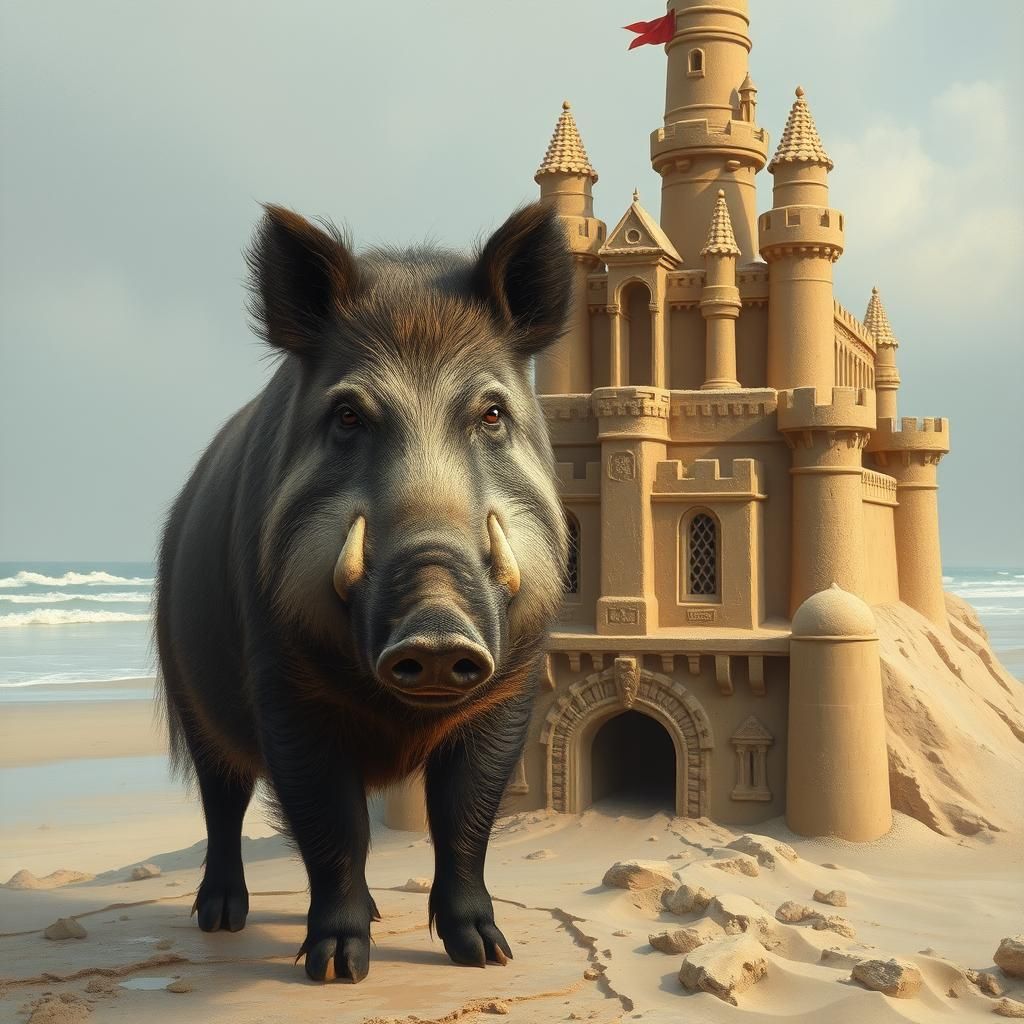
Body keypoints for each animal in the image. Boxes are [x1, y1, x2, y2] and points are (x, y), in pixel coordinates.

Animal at [154, 202, 572, 984]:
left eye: (491, 414)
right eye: (348, 415)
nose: (435, 628)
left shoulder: (511, 688)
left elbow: (467, 816)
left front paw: (487, 956)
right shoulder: (284, 687)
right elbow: (332, 824)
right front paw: (335, 969)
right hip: (194, 699)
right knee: (222, 800)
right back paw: (220, 921)